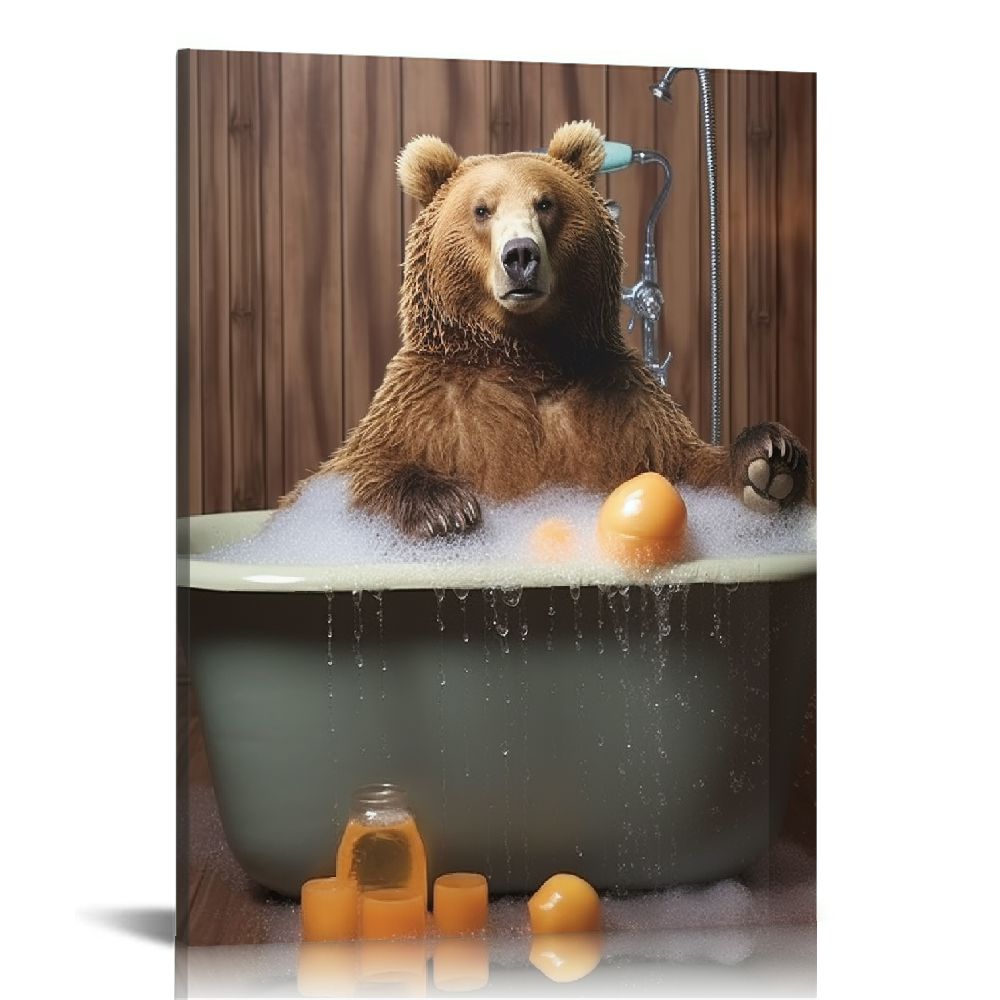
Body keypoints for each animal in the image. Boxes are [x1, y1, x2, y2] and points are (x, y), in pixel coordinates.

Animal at [280, 120, 809, 537]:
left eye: (546, 203)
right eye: (482, 209)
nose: (520, 255)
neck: (522, 352)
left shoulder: (622, 406)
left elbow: (685, 461)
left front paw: (769, 459)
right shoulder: (429, 405)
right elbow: (352, 474)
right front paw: (445, 507)